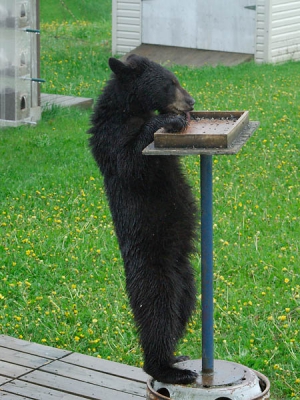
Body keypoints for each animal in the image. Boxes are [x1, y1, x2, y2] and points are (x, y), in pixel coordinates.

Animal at [88, 54, 198, 384]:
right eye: (169, 83)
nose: (190, 101)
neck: (129, 109)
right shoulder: (112, 138)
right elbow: (131, 161)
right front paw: (169, 120)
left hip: (186, 277)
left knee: (181, 311)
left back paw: (176, 356)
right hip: (154, 274)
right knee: (157, 315)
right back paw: (168, 369)